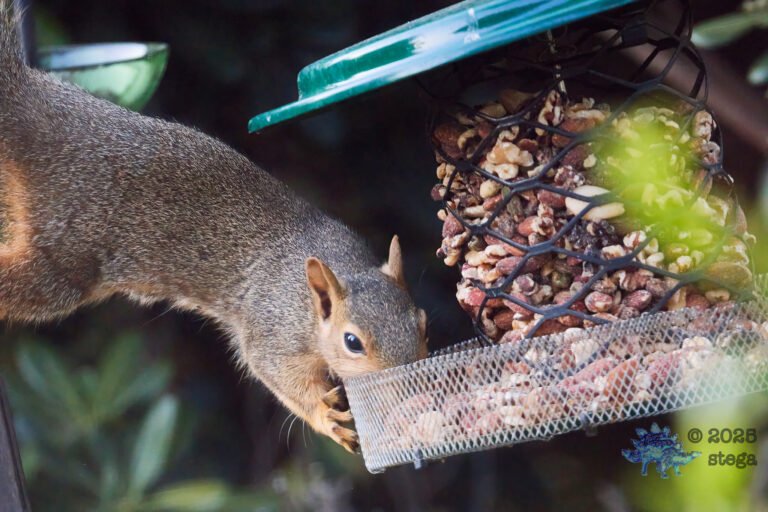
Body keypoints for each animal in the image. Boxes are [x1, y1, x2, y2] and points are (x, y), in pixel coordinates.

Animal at [0, 2, 427, 453]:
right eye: (352, 342)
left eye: (423, 323)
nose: (412, 393)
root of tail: (30, 109)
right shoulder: (272, 329)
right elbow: (281, 377)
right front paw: (327, 418)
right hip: (64, 257)